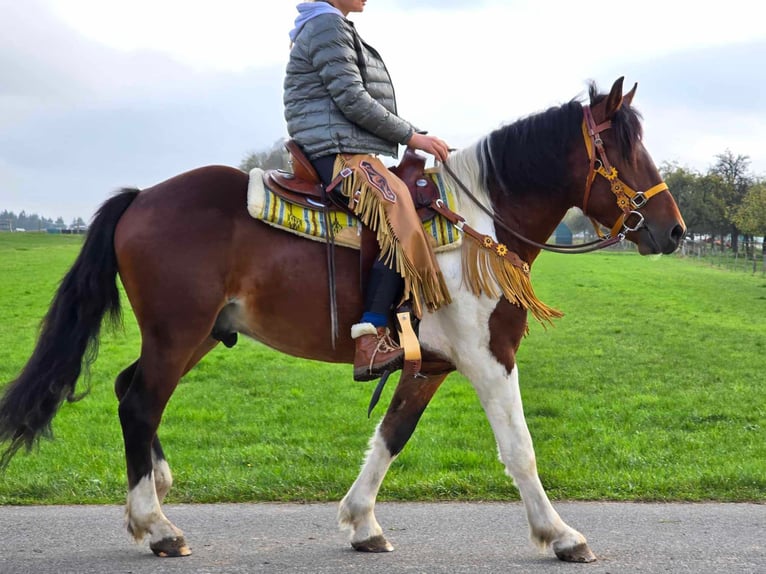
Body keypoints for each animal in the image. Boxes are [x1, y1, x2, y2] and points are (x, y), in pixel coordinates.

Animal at [0, 76, 684, 564]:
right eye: (622, 148)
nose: (673, 231)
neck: (479, 223)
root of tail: (142, 196)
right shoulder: (489, 357)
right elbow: (519, 450)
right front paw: (561, 534)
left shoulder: (430, 365)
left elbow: (392, 435)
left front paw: (361, 522)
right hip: (178, 334)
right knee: (141, 403)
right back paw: (158, 527)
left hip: (198, 336)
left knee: (128, 390)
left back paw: (155, 491)